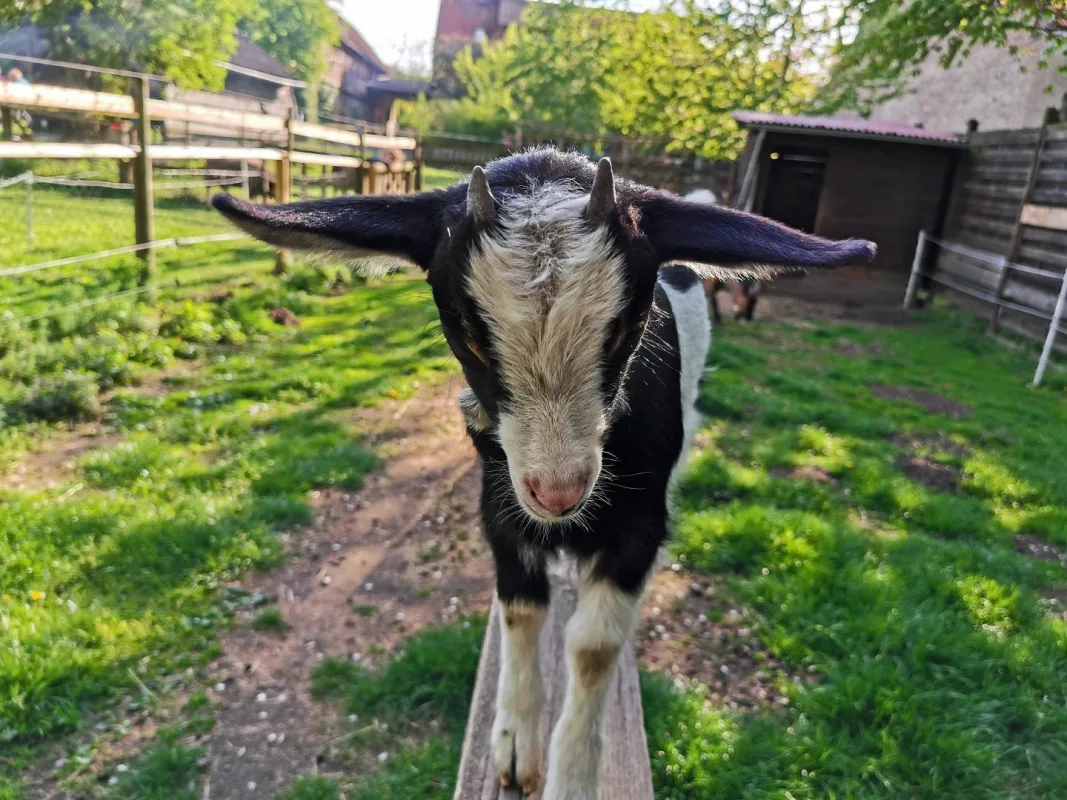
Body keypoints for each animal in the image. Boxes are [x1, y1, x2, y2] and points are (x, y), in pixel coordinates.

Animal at [211, 148, 874, 799]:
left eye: (629, 326)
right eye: (467, 335)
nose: (558, 493)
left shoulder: (641, 523)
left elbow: (594, 647)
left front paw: (573, 776)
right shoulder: (500, 502)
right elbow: (520, 608)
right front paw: (512, 746)